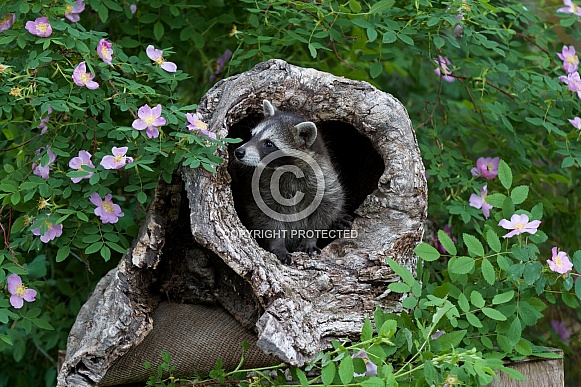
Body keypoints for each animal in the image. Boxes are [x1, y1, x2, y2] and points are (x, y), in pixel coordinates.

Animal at [233, 98, 346, 266]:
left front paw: (310, 238)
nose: (238, 152)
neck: (285, 169)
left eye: (269, 143)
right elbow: (265, 216)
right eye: (252, 135)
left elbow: (328, 208)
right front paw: (278, 244)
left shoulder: (325, 179)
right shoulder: (262, 185)